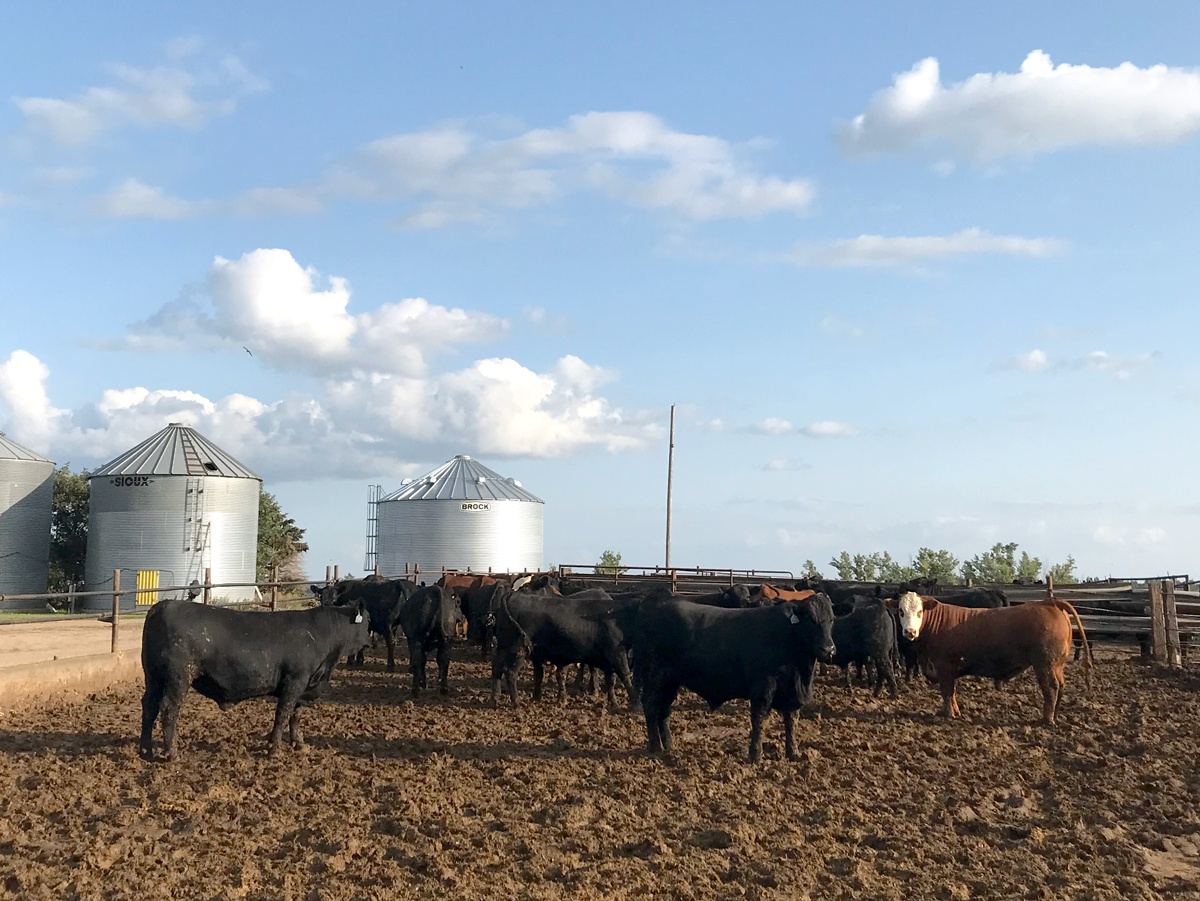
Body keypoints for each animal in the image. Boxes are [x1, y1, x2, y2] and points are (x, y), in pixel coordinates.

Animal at [138, 599, 367, 763]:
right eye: (367, 621)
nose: (369, 642)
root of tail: (163, 605)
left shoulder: (304, 685)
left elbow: (295, 714)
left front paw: (299, 744)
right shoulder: (295, 681)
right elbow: (283, 714)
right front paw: (274, 750)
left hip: (153, 677)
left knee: (149, 707)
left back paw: (146, 750)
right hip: (178, 677)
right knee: (168, 708)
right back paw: (172, 753)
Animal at [638, 595, 835, 763]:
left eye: (831, 620)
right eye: (811, 619)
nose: (829, 649)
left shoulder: (790, 693)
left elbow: (791, 721)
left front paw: (793, 753)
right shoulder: (763, 688)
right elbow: (759, 720)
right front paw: (755, 755)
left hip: (669, 682)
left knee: (663, 709)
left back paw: (668, 745)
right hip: (654, 677)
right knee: (650, 706)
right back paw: (655, 747)